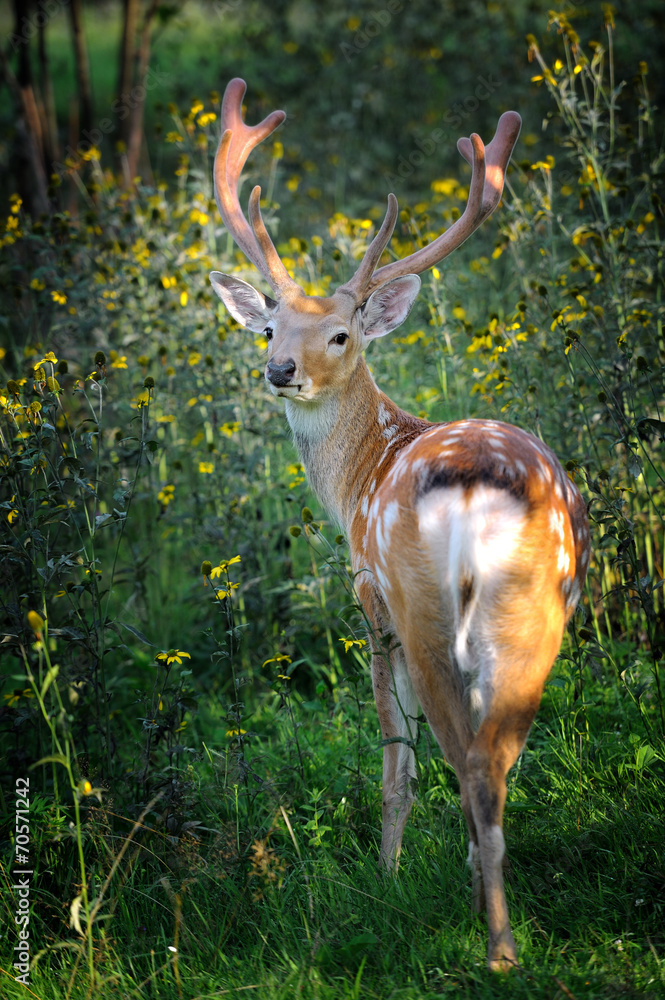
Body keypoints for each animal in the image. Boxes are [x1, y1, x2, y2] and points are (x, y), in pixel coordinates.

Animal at [209, 78, 592, 968]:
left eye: (340, 334)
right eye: (270, 326)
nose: (278, 369)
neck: (356, 477)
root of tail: (480, 482)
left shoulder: (367, 597)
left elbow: (393, 752)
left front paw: (384, 873)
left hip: (423, 606)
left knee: (466, 760)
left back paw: (494, 946)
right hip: (537, 604)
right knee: (499, 755)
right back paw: (494, 914)